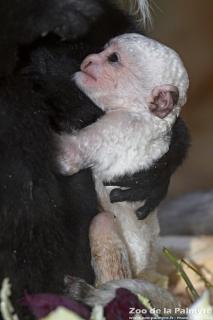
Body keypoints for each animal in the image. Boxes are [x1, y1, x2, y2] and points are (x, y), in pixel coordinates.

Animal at [57, 34, 189, 284]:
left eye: (113, 59)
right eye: (104, 50)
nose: (88, 61)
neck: (146, 116)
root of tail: (146, 272)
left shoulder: (119, 125)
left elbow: (68, 156)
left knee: (102, 223)